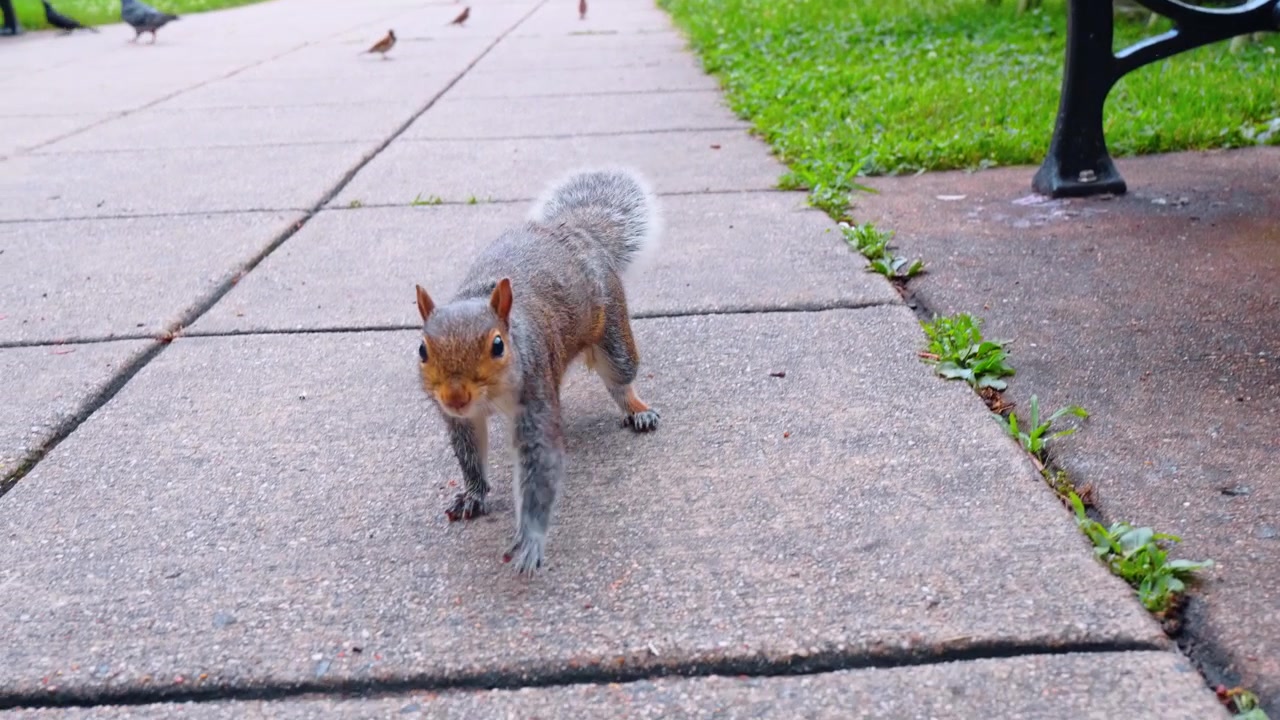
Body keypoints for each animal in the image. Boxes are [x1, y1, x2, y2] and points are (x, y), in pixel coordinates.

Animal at [414, 168, 662, 575]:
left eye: (498, 345)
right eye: (422, 349)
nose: (455, 397)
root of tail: (575, 230)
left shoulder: (536, 391)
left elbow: (538, 463)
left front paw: (530, 540)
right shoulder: (461, 420)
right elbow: (470, 454)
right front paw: (473, 494)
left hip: (614, 332)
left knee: (622, 379)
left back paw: (638, 411)